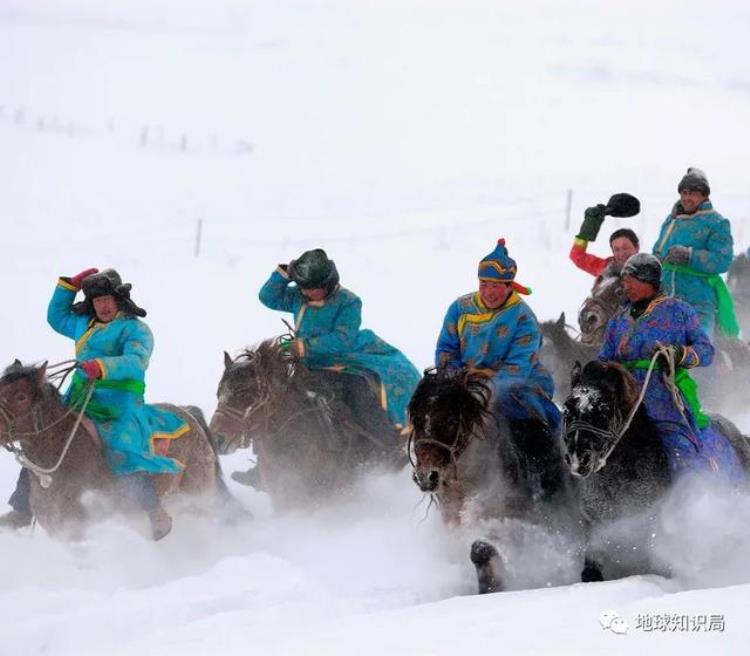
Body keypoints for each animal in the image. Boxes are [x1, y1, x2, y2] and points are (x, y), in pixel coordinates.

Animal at [412, 368, 580, 596]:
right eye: (417, 421)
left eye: (450, 421)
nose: (426, 476)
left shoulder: (511, 524)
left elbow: (480, 549)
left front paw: (490, 588)